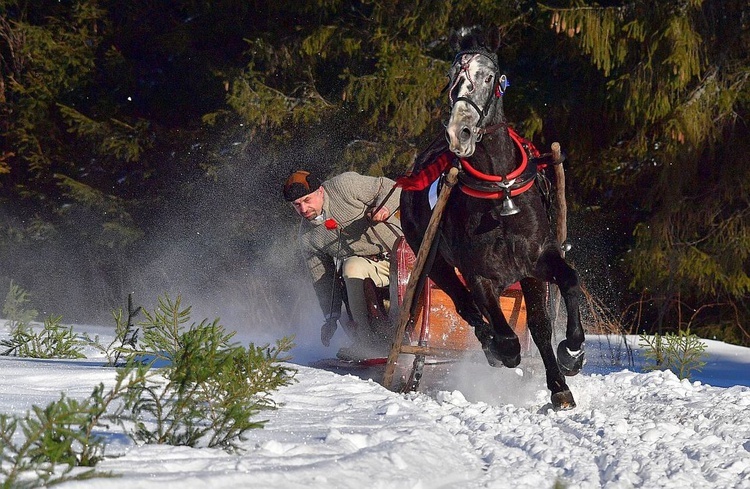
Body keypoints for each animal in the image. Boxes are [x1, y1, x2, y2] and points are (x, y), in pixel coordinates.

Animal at [400, 25, 588, 408]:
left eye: (488, 77)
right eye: (452, 78)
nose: (459, 132)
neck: (500, 189)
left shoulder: (536, 261)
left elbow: (558, 300)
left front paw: (569, 358)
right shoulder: (478, 273)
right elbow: (506, 337)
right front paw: (500, 349)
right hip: (432, 260)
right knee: (465, 306)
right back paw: (489, 346)